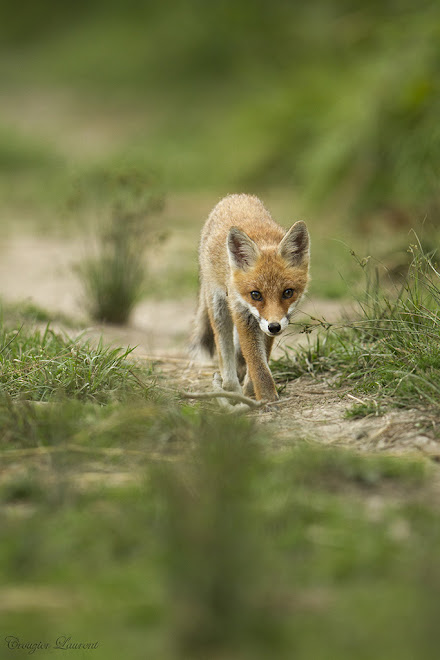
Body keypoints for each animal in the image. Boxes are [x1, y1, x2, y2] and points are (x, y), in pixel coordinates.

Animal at [191, 195, 312, 402]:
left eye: (288, 292)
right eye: (256, 294)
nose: (274, 327)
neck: (263, 240)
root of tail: (236, 196)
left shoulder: (265, 323)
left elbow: (261, 359)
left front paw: (251, 389)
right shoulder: (242, 313)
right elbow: (257, 364)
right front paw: (267, 398)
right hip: (219, 307)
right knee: (224, 348)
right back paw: (230, 387)